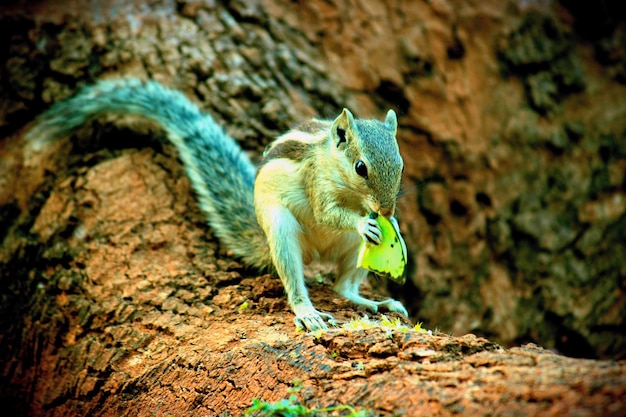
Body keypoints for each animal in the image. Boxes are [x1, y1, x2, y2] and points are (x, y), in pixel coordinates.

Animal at [26, 78, 408, 330]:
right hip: (281, 233)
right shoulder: (317, 184)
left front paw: (392, 225)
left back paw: (377, 301)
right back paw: (307, 312)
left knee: (342, 287)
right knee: (297, 280)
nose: (386, 212)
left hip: (354, 251)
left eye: (401, 164)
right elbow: (326, 213)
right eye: (361, 167)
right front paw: (361, 221)